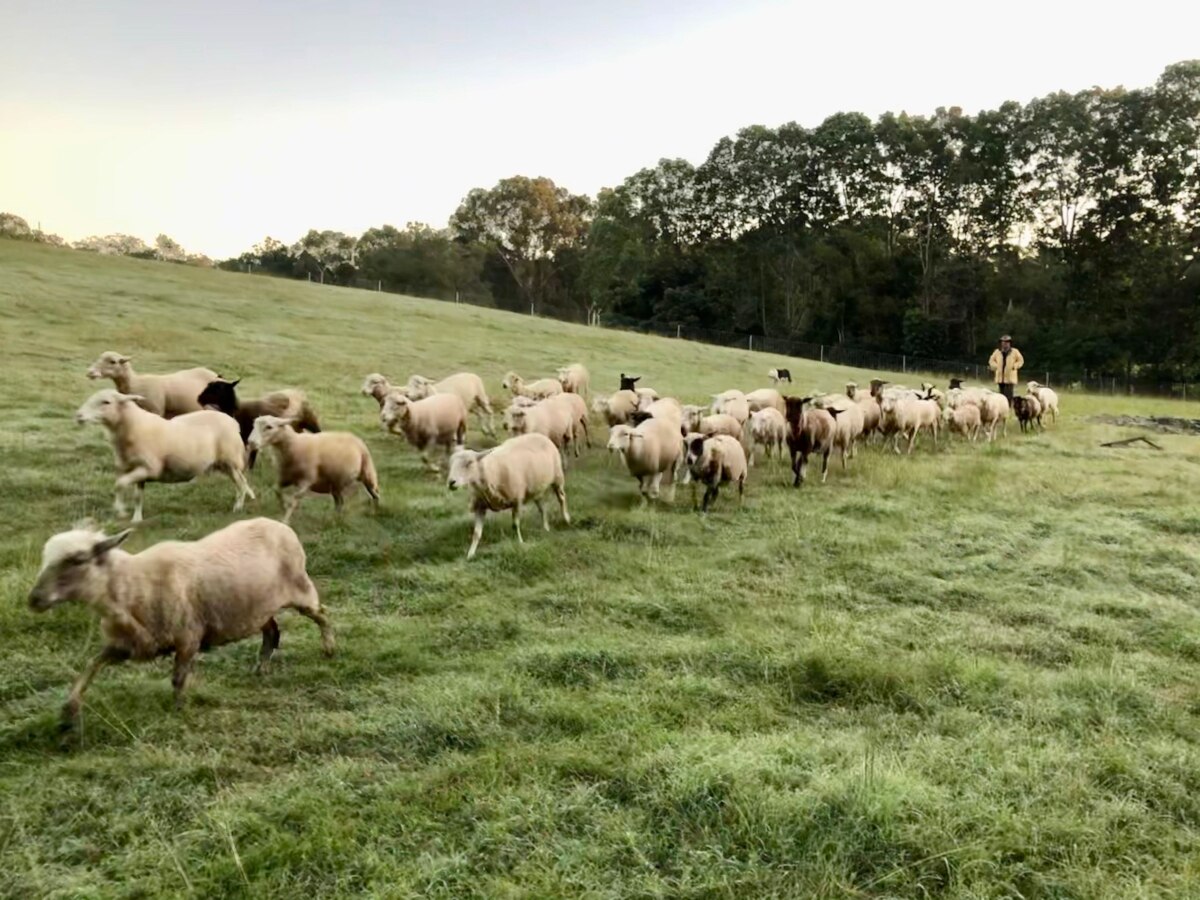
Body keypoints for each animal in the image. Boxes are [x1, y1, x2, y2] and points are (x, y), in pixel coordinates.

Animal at [27, 518, 333, 727]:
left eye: (77, 560)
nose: (34, 599)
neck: (132, 585)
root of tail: (279, 524)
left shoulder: (188, 637)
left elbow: (177, 679)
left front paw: (179, 711)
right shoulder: (127, 645)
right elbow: (90, 667)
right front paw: (69, 713)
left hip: (301, 591)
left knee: (322, 613)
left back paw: (329, 649)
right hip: (256, 607)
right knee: (272, 632)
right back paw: (262, 667)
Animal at [75, 389, 253, 523]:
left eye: (106, 402)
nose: (79, 416)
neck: (132, 427)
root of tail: (232, 421)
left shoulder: (150, 469)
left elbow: (119, 484)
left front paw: (120, 510)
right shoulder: (137, 471)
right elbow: (137, 496)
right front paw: (136, 519)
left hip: (231, 460)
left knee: (241, 483)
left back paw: (237, 508)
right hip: (225, 464)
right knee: (242, 482)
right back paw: (248, 497)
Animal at [248, 415, 380, 523]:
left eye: (269, 427)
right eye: (253, 425)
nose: (251, 442)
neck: (294, 445)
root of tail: (355, 437)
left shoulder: (306, 481)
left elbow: (294, 499)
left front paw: (285, 520)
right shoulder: (285, 478)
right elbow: (276, 490)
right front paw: (283, 506)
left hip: (367, 473)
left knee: (375, 493)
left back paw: (374, 512)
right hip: (335, 484)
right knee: (340, 502)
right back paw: (335, 520)